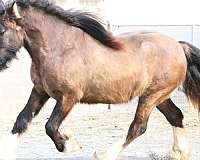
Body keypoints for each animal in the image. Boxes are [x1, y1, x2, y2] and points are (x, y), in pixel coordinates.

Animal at [0, 0, 199, 159]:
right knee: (175, 115)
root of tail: (179, 46)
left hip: (152, 96)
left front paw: (69, 145)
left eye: (2, 31)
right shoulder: (40, 91)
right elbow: (21, 120)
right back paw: (178, 152)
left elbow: (50, 125)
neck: (60, 48)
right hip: (159, 96)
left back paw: (104, 154)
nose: (0, 64)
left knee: (138, 126)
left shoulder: (69, 96)